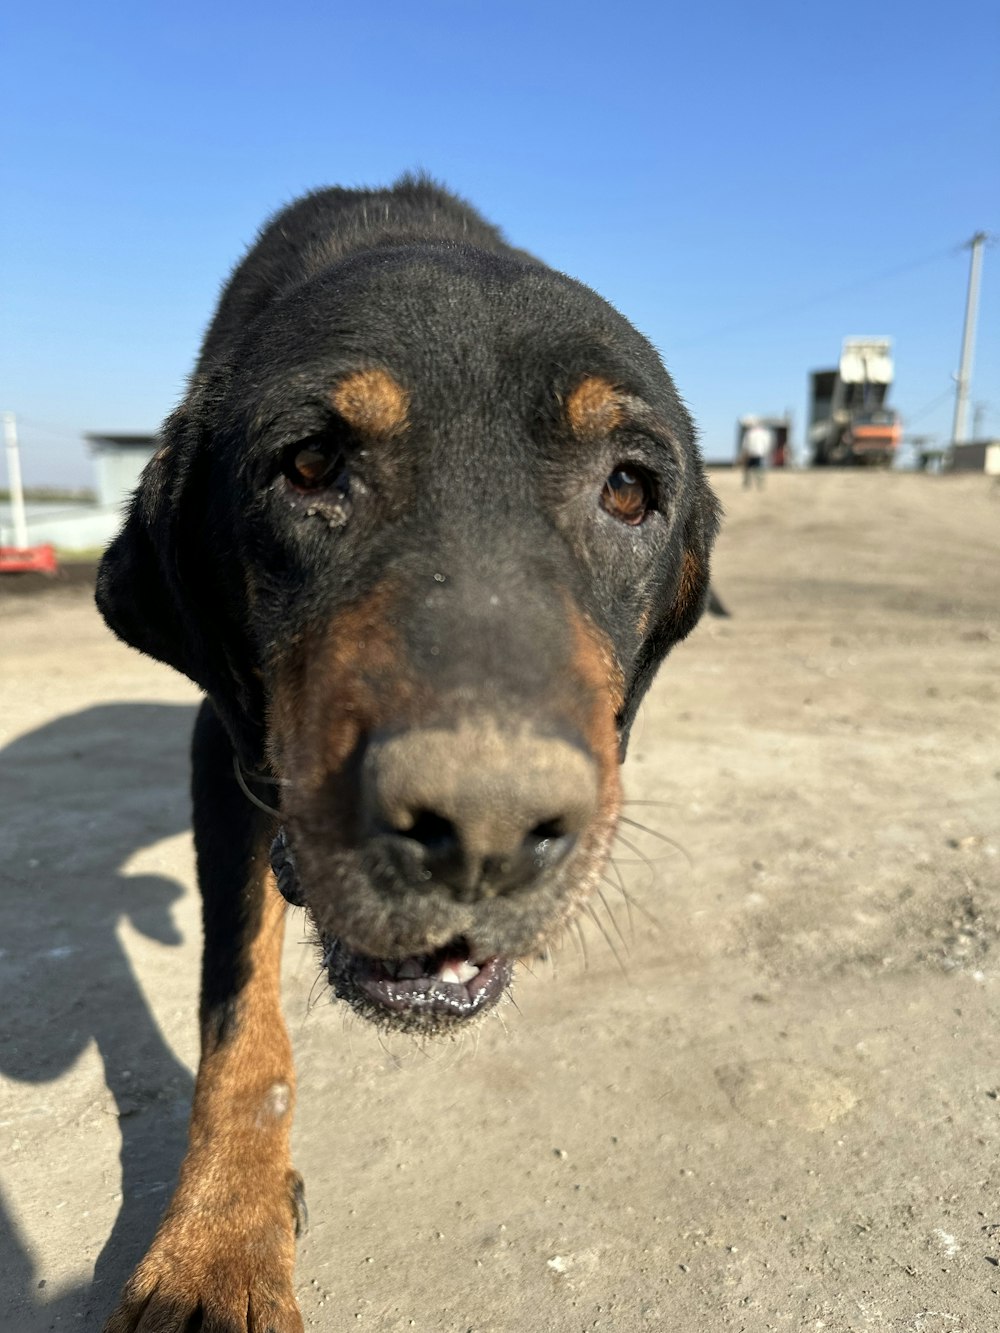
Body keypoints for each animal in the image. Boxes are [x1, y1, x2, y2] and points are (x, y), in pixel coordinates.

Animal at [96, 177, 720, 1333]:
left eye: (628, 488)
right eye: (308, 464)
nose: (485, 832)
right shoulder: (226, 755)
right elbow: (240, 1019)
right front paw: (217, 1242)